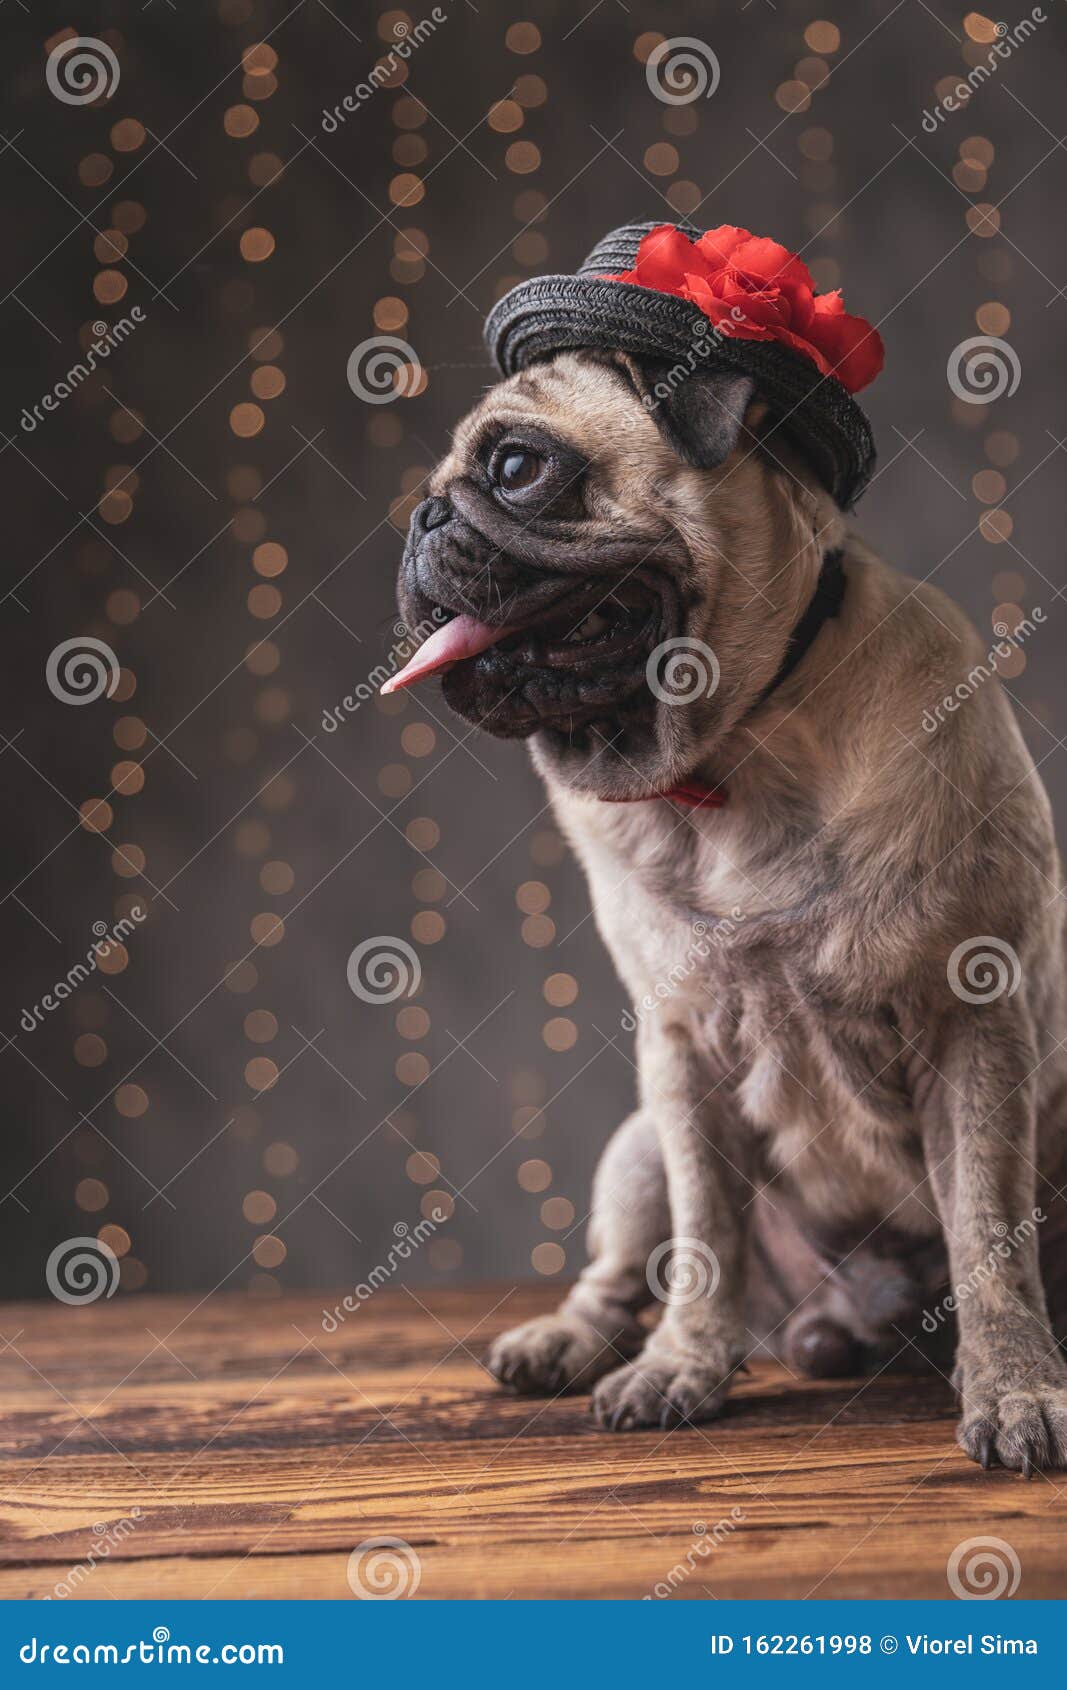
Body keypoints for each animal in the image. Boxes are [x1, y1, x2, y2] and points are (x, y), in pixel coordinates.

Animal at [388, 339, 1067, 1466]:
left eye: (516, 467)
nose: (424, 517)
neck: (738, 748)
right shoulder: (681, 1054)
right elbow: (707, 1230)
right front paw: (682, 1365)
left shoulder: (969, 1025)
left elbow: (985, 1232)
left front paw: (1016, 1389)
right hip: (633, 1149)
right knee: (623, 1272)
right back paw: (569, 1344)